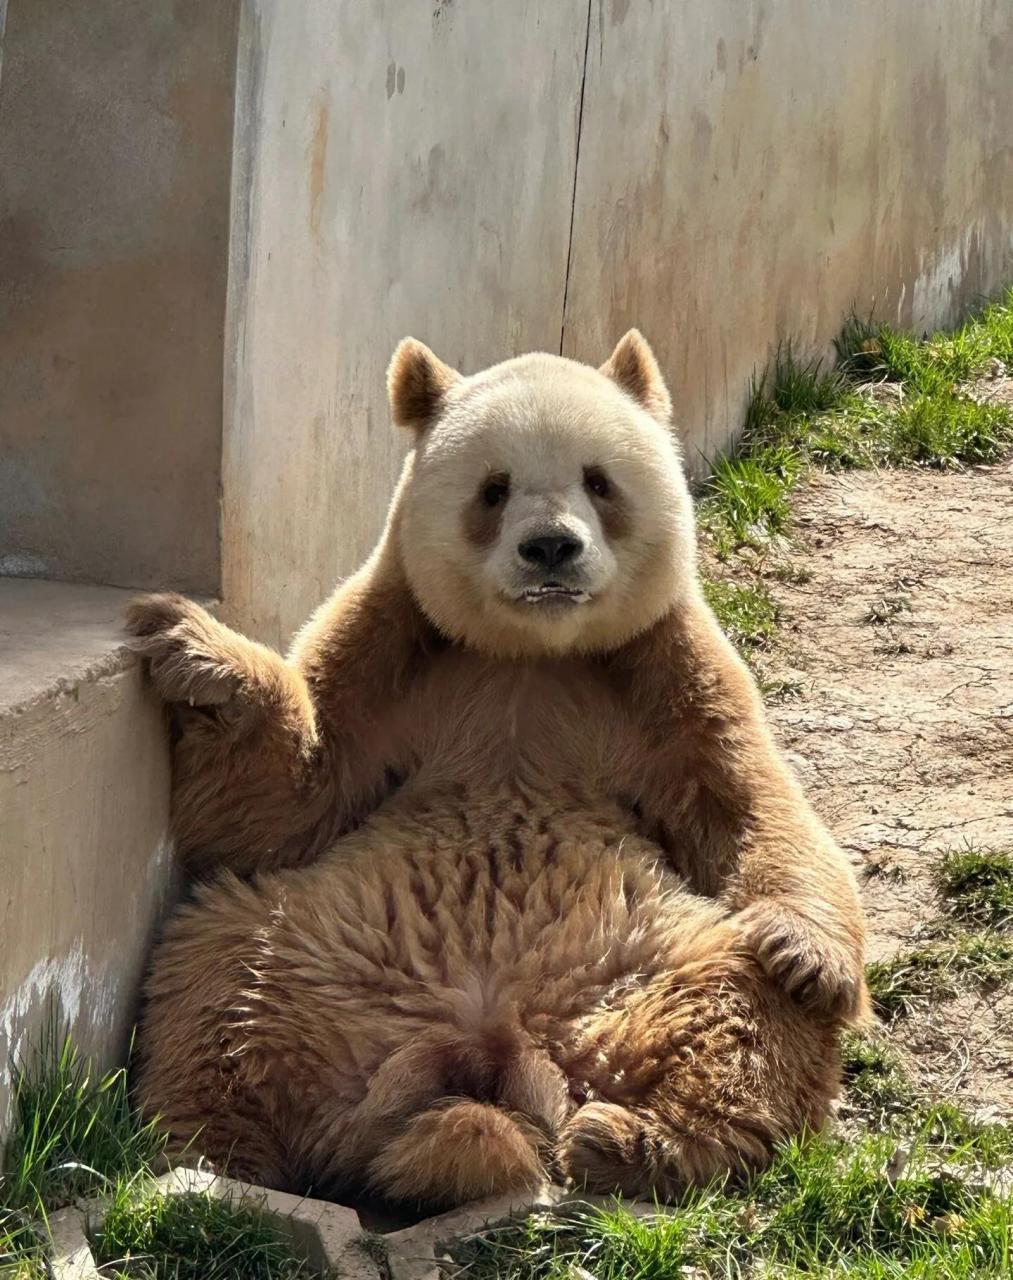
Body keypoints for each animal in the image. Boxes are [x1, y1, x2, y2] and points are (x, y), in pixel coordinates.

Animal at [126, 331, 868, 1207]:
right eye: (493, 488)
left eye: (597, 480)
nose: (550, 547)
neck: (530, 654)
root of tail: (490, 1051)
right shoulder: (401, 647)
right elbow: (277, 803)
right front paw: (187, 640)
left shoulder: (656, 667)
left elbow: (748, 803)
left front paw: (804, 954)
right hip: (313, 955)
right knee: (217, 979)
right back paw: (214, 1159)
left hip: (642, 966)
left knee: (740, 1008)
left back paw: (634, 1141)